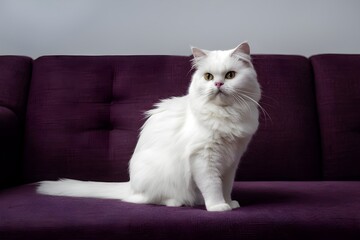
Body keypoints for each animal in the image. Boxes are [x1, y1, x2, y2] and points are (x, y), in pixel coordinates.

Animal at [37, 41, 262, 212]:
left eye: (230, 75)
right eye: (208, 77)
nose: (218, 85)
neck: (226, 115)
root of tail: (131, 186)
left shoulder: (231, 161)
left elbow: (226, 186)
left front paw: (230, 203)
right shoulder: (203, 158)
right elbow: (213, 186)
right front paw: (218, 207)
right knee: (149, 199)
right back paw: (176, 202)